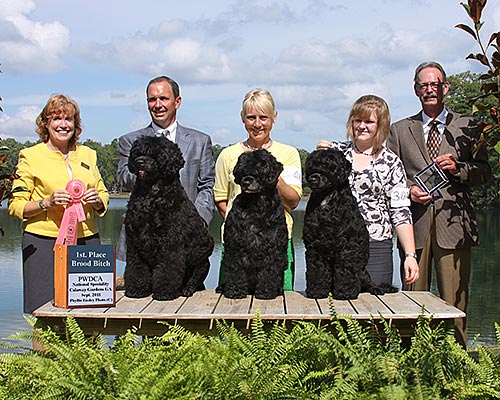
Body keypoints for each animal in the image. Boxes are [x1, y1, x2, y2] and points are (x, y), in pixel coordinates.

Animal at [124, 134, 213, 300]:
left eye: (156, 154)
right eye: (137, 152)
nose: (139, 161)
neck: (150, 195)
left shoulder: (170, 243)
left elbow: (168, 269)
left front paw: (164, 292)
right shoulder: (134, 242)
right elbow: (136, 268)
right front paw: (137, 290)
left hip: (201, 262)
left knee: (195, 278)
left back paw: (186, 290)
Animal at [221, 148, 288, 298]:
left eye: (261, 166)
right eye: (242, 168)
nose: (246, 181)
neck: (256, 202)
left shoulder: (273, 245)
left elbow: (269, 270)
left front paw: (266, 292)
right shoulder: (234, 243)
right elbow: (235, 269)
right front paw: (235, 291)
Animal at [302, 149, 396, 300]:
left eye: (328, 164)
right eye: (311, 166)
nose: (313, 179)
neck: (326, 199)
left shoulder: (348, 247)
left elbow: (346, 271)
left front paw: (345, 292)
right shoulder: (315, 246)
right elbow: (317, 270)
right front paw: (316, 291)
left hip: (363, 272)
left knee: (368, 283)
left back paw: (376, 289)